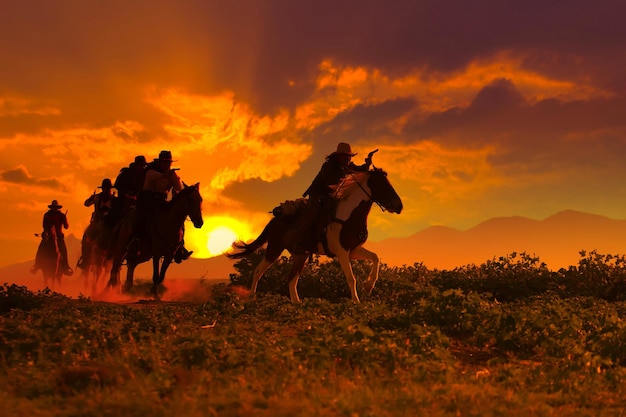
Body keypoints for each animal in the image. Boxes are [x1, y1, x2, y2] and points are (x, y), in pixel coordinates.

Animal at [227, 167, 402, 302]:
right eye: (383, 185)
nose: (399, 206)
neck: (347, 217)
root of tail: (276, 220)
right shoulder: (342, 252)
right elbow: (351, 278)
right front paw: (356, 302)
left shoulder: (353, 250)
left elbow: (375, 258)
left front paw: (369, 285)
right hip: (274, 248)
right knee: (258, 271)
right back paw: (252, 299)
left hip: (300, 255)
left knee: (291, 279)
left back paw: (297, 303)